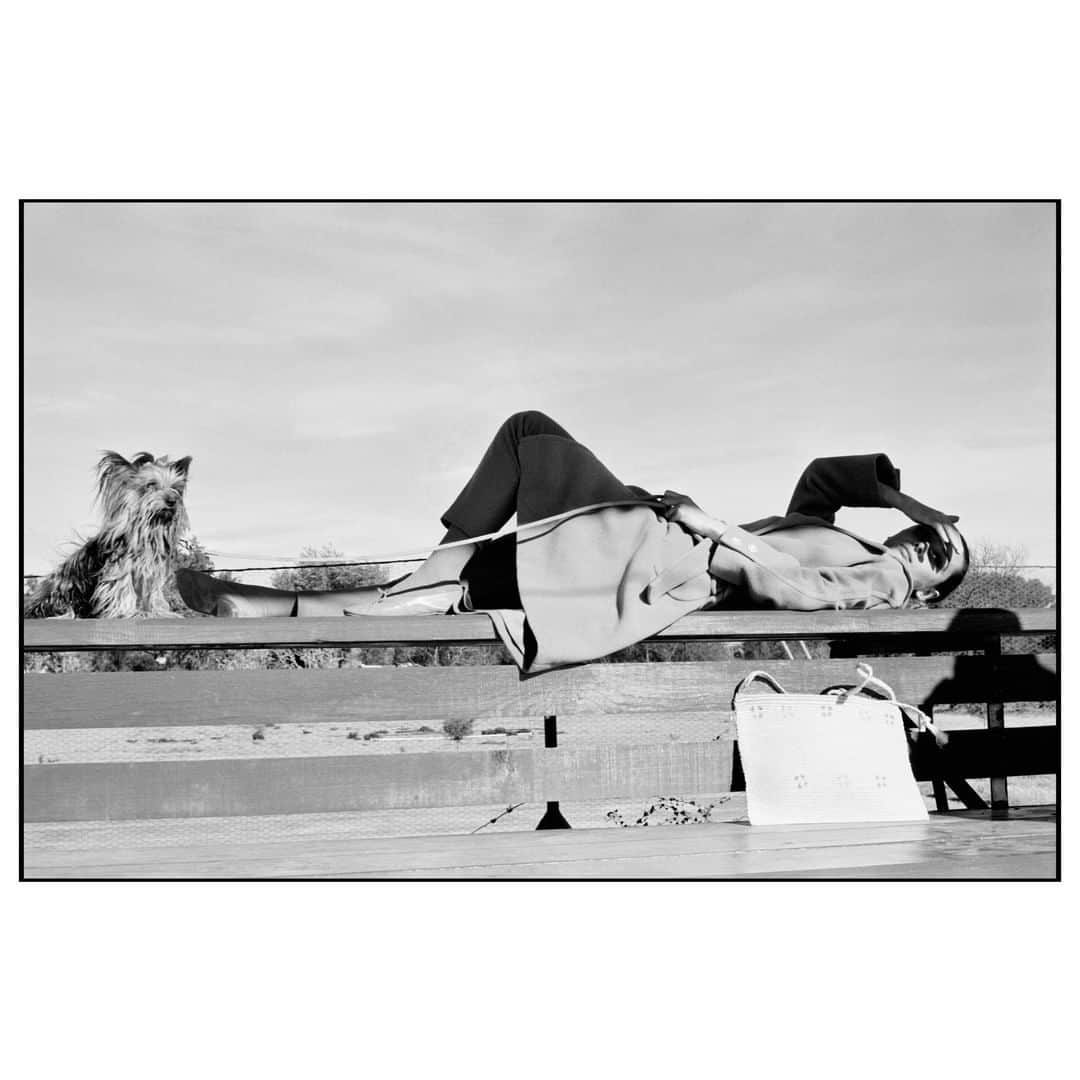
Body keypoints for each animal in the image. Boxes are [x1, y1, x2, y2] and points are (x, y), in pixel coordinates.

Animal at [25, 449, 193, 617]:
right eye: (151, 485)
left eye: (176, 488)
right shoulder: (119, 570)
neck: (147, 528)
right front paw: (128, 613)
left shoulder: (151, 573)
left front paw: (158, 611)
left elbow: (153, 593)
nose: (172, 501)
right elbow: (123, 590)